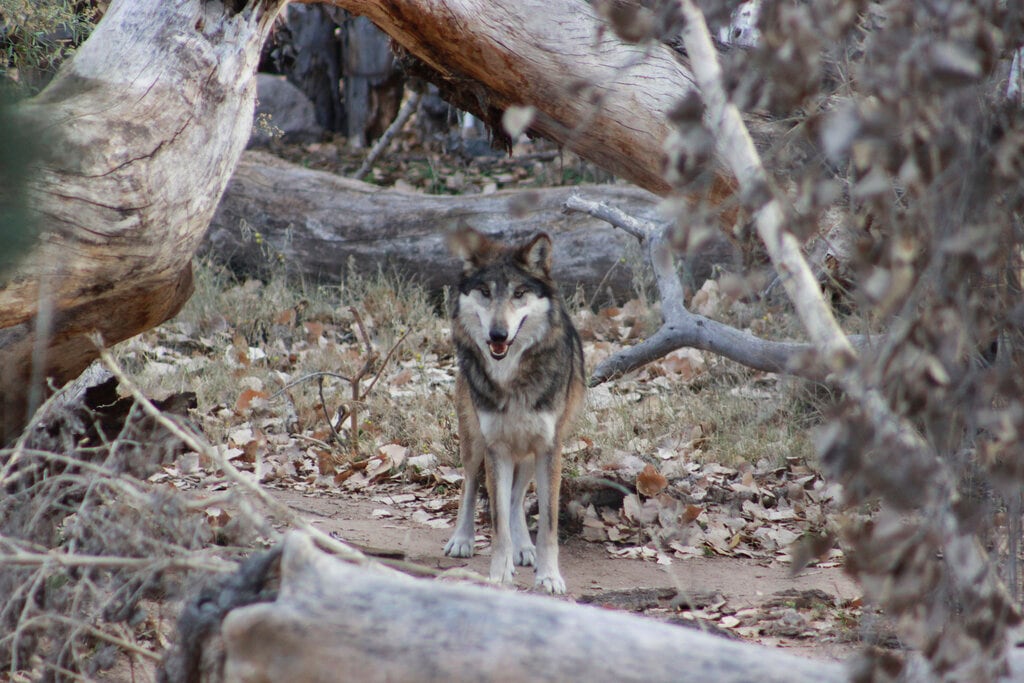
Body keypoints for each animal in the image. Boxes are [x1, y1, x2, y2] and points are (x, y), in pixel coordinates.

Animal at [444, 226, 586, 594]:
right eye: (485, 292)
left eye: (519, 293)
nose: (498, 334)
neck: (513, 377)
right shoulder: (496, 447)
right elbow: (497, 524)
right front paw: (498, 575)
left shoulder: (548, 447)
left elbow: (547, 524)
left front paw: (548, 576)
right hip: (474, 442)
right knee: (470, 485)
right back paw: (462, 539)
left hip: (530, 454)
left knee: (516, 498)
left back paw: (525, 548)